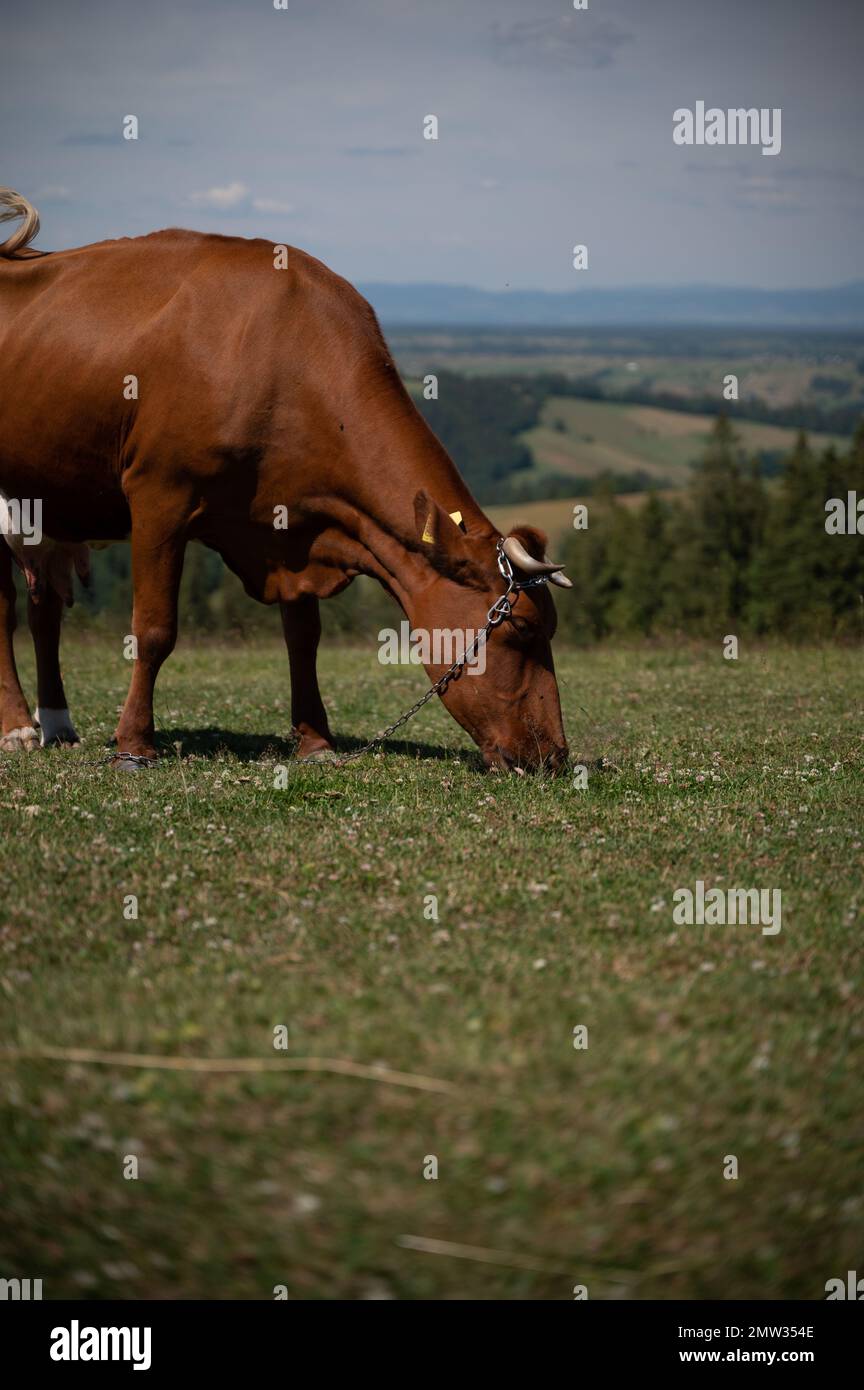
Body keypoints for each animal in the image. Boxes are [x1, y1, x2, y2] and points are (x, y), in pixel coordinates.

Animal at [0, 188, 570, 771]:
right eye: (523, 626)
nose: (554, 755)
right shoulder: (161, 494)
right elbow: (154, 629)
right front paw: (134, 746)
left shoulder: (293, 518)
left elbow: (303, 638)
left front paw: (316, 743)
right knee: (5, 609)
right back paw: (18, 728)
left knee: (44, 609)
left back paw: (57, 726)